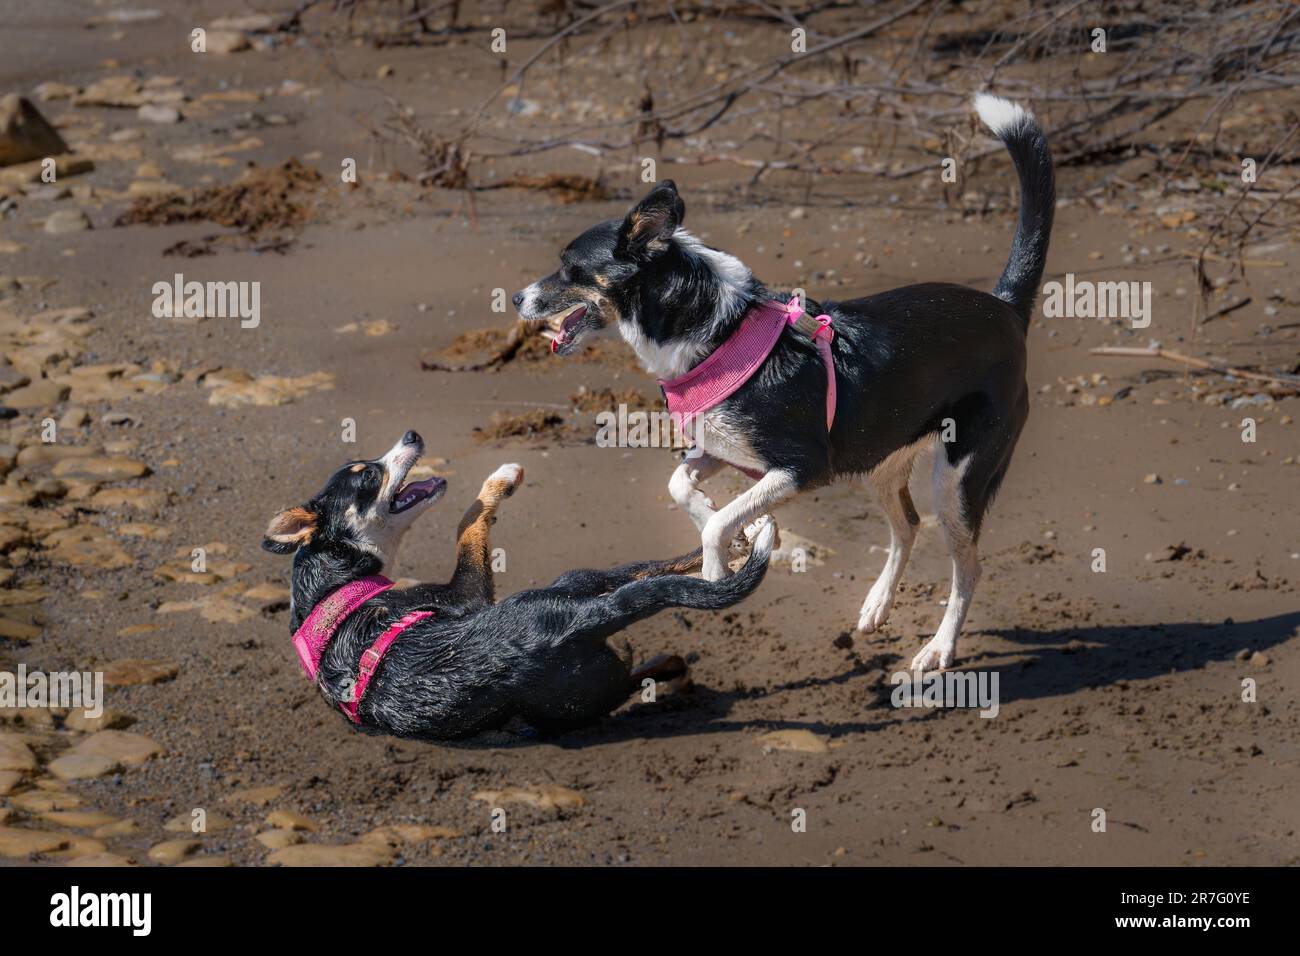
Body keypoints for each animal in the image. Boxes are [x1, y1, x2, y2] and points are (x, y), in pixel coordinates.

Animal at [260, 434, 774, 738]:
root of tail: (571, 628)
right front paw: (499, 480)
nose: (412, 435)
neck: (331, 581)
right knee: (645, 589)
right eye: (368, 474)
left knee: (653, 590)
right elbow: (467, 523)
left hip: (584, 656)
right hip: (575, 606)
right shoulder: (465, 592)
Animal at [512, 93, 1050, 671]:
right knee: (906, 525)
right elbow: (682, 486)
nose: (516, 298)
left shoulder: (800, 466)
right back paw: (878, 603)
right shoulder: (725, 451)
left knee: (967, 565)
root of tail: (1006, 307)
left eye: (569, 269)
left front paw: (715, 573)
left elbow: (719, 523)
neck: (717, 328)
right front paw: (718, 523)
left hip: (956, 477)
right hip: (881, 458)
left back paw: (940, 648)